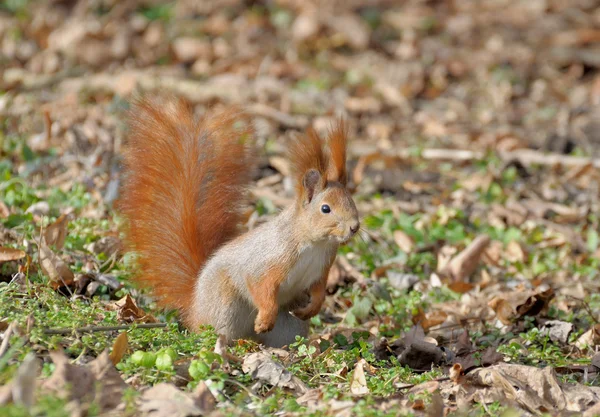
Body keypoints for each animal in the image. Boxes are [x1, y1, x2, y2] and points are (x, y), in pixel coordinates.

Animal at [119, 96, 358, 346]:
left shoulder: (322, 268)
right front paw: (265, 317)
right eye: (325, 209)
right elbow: (260, 286)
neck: (315, 243)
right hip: (226, 306)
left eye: (352, 200)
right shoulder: (269, 261)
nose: (355, 227)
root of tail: (195, 308)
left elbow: (319, 290)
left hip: (289, 327)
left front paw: (312, 308)